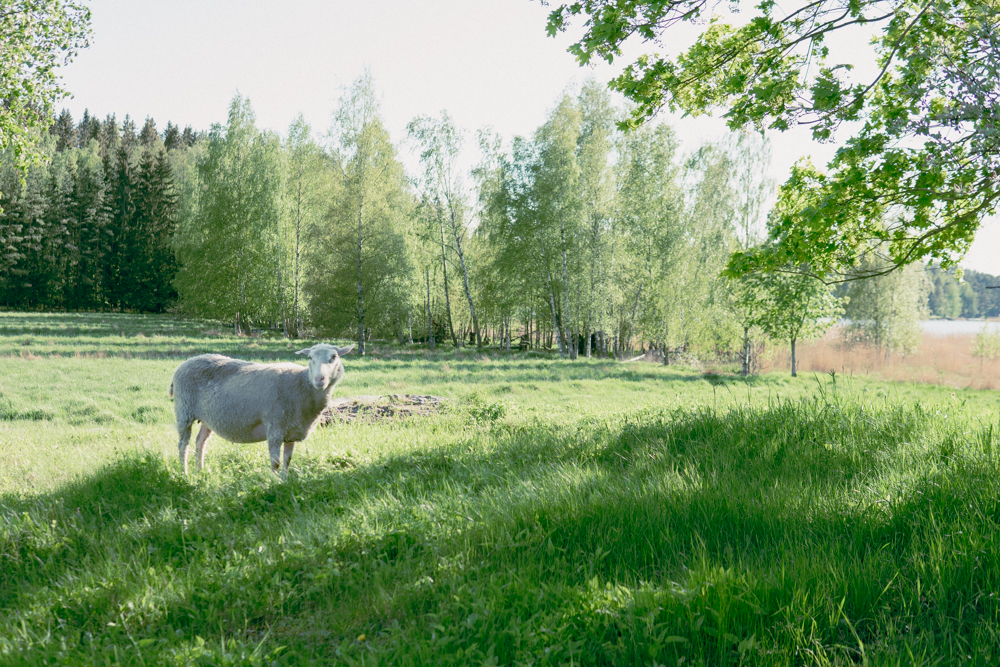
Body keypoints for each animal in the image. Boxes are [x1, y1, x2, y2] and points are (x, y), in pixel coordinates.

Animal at [165, 344, 352, 474]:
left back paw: (200, 471)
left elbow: (287, 461)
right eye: (310, 358)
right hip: (184, 411)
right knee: (183, 445)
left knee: (200, 442)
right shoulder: (275, 427)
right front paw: (274, 484)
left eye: (334, 357)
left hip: (207, 417)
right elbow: (275, 462)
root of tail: (183, 365)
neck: (301, 384)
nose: (319, 379)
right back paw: (185, 473)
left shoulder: (291, 431)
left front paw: (285, 481)